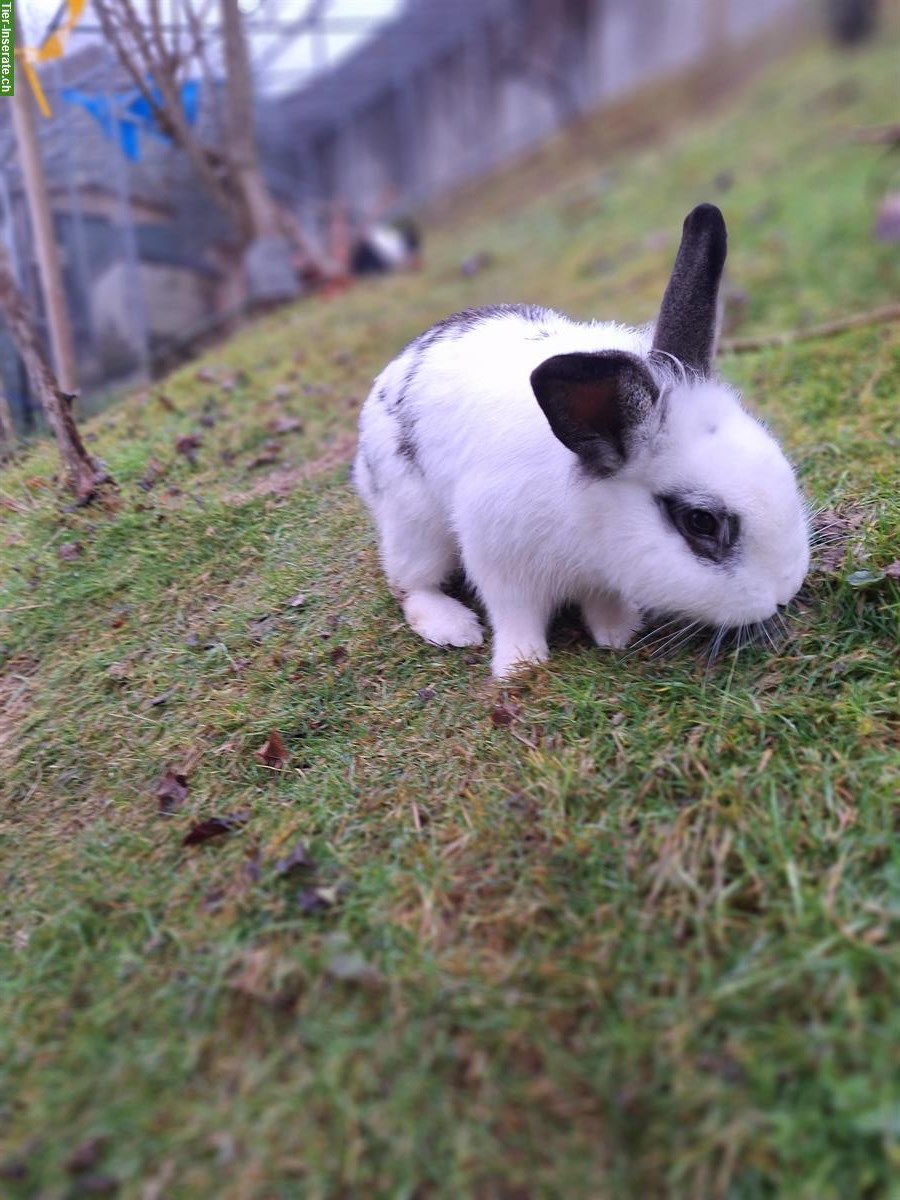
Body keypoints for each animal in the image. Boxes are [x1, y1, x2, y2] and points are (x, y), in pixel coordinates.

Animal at [353, 203, 810, 679]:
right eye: (700, 521)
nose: (784, 591)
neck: (590, 530)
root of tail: (393, 369)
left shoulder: (598, 576)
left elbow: (602, 600)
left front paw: (619, 631)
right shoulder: (499, 558)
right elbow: (514, 614)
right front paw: (520, 666)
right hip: (414, 523)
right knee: (410, 585)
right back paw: (452, 627)